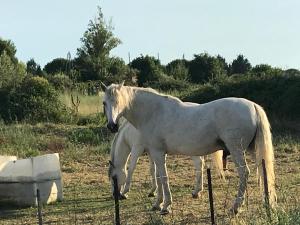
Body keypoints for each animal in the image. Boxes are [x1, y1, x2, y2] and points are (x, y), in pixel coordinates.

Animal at [102, 82, 276, 214]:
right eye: (105, 103)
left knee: (244, 173)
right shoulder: (156, 153)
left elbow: (162, 177)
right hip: (252, 150)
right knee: (262, 171)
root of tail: (253, 106)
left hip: (236, 150)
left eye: (118, 101)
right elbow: (158, 176)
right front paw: (157, 203)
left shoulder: (155, 152)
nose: (112, 126)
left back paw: (235, 207)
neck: (152, 112)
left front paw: (165, 206)